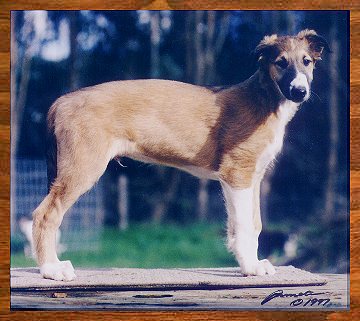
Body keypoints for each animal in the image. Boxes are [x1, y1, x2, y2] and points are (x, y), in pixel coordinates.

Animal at [32, 30, 330, 280]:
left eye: (306, 62)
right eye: (280, 63)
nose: (299, 92)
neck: (263, 99)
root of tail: (62, 101)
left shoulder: (252, 176)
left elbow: (252, 224)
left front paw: (251, 263)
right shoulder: (237, 172)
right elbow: (245, 226)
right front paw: (250, 267)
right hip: (82, 167)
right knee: (45, 214)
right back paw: (51, 269)